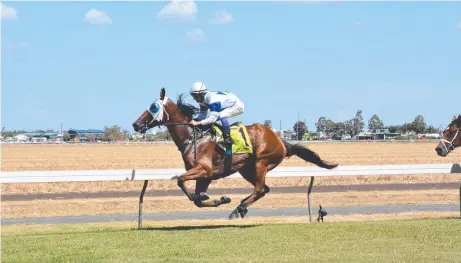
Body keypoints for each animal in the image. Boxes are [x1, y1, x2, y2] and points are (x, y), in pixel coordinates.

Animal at [131, 87, 336, 220]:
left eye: (153, 107)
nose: (135, 124)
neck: (193, 137)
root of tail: (279, 139)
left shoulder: (204, 170)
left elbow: (181, 180)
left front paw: (214, 198)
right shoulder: (206, 176)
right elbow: (196, 199)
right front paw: (218, 199)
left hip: (261, 163)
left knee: (260, 189)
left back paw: (239, 209)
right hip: (246, 169)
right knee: (263, 189)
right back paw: (241, 207)